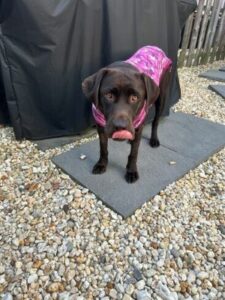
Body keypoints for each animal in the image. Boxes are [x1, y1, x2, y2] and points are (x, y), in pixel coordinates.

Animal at [81, 46, 171, 184]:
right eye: (109, 95)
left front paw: (131, 171)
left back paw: (153, 139)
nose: (120, 126)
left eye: (134, 98)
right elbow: (103, 149)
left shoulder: (138, 127)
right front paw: (102, 164)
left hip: (161, 97)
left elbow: (134, 153)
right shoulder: (101, 128)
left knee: (155, 122)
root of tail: (155, 47)